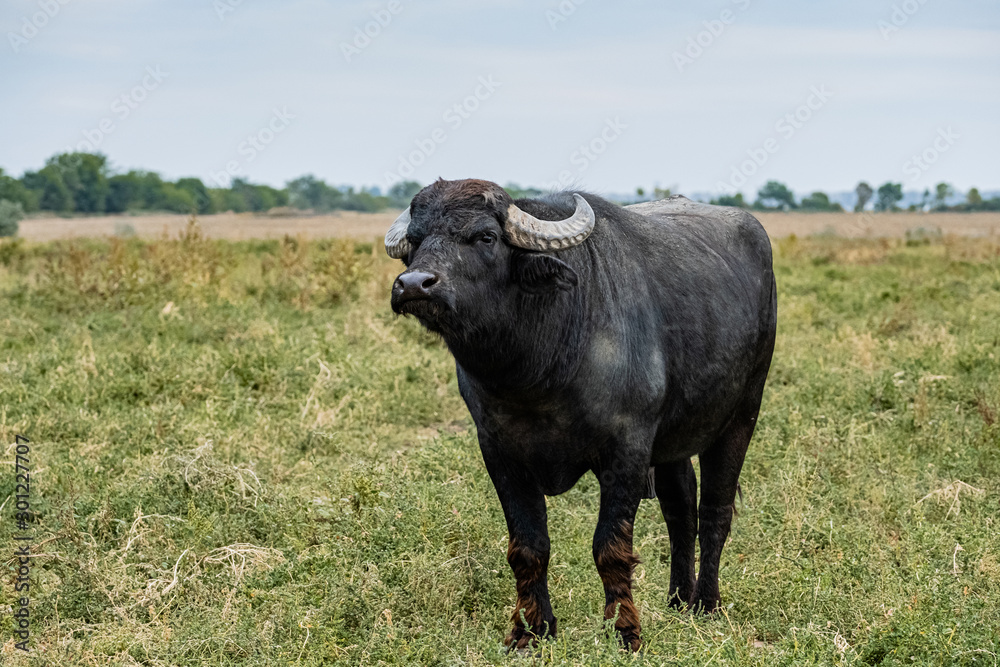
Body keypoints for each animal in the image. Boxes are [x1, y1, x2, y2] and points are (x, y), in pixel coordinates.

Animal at [382, 179, 772, 652]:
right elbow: (528, 547)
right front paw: (529, 631)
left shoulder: (627, 449)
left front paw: (624, 630)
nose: (414, 285)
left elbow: (610, 547)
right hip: (674, 441)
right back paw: (678, 599)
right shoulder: (499, 451)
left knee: (715, 510)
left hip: (741, 414)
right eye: (414, 242)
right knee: (680, 509)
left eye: (485, 237)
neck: (539, 369)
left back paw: (705, 604)